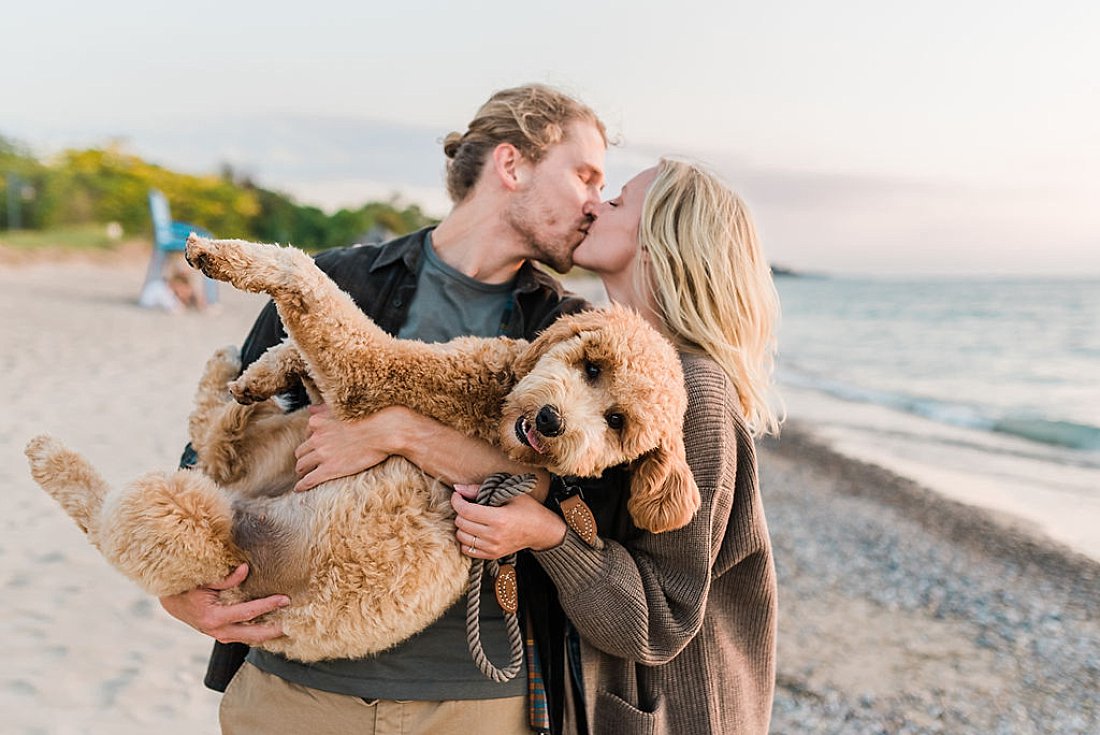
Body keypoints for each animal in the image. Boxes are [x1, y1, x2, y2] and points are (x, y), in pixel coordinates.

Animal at [23, 236, 695, 664]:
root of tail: (240, 507)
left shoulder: (368, 374)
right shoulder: (352, 386)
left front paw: (222, 254)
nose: (554, 424)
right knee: (217, 444)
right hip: (277, 445)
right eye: (592, 364)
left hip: (182, 518)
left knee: (109, 511)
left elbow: (306, 279)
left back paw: (48, 453)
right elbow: (304, 336)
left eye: (617, 423)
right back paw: (230, 376)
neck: (498, 409)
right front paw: (263, 370)